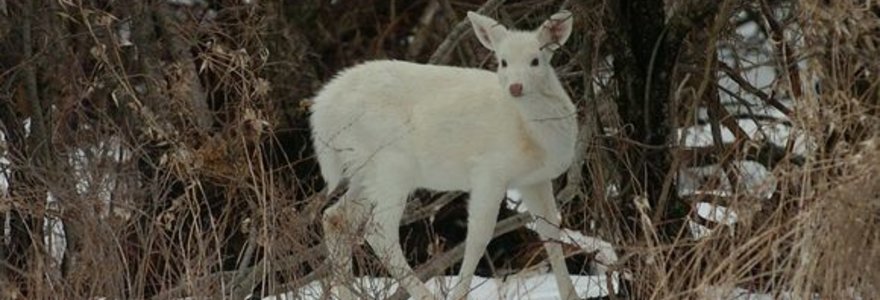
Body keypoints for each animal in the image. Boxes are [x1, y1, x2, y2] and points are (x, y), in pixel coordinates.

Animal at [312, 9, 580, 300]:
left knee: (335, 217)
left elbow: (551, 231)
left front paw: (571, 294)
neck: (536, 138)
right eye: (503, 61)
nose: (516, 87)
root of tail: (320, 114)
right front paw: (459, 294)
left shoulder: (534, 180)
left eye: (535, 60)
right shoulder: (489, 171)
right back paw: (424, 294)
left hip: (363, 170)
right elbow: (478, 237)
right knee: (378, 231)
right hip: (391, 165)